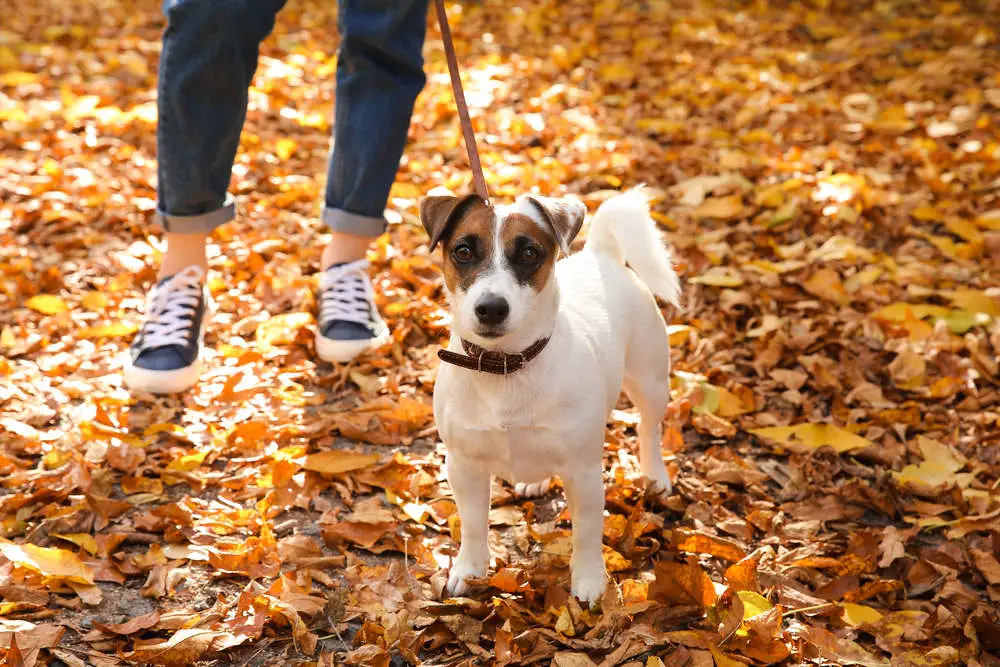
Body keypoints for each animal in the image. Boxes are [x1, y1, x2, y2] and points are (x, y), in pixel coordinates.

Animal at [418, 188, 684, 604]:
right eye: (463, 250)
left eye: (530, 252)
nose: (491, 308)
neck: (506, 366)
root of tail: (600, 253)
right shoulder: (463, 466)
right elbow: (474, 524)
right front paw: (470, 569)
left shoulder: (584, 472)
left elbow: (587, 532)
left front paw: (589, 580)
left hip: (650, 381)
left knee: (648, 429)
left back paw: (655, 475)